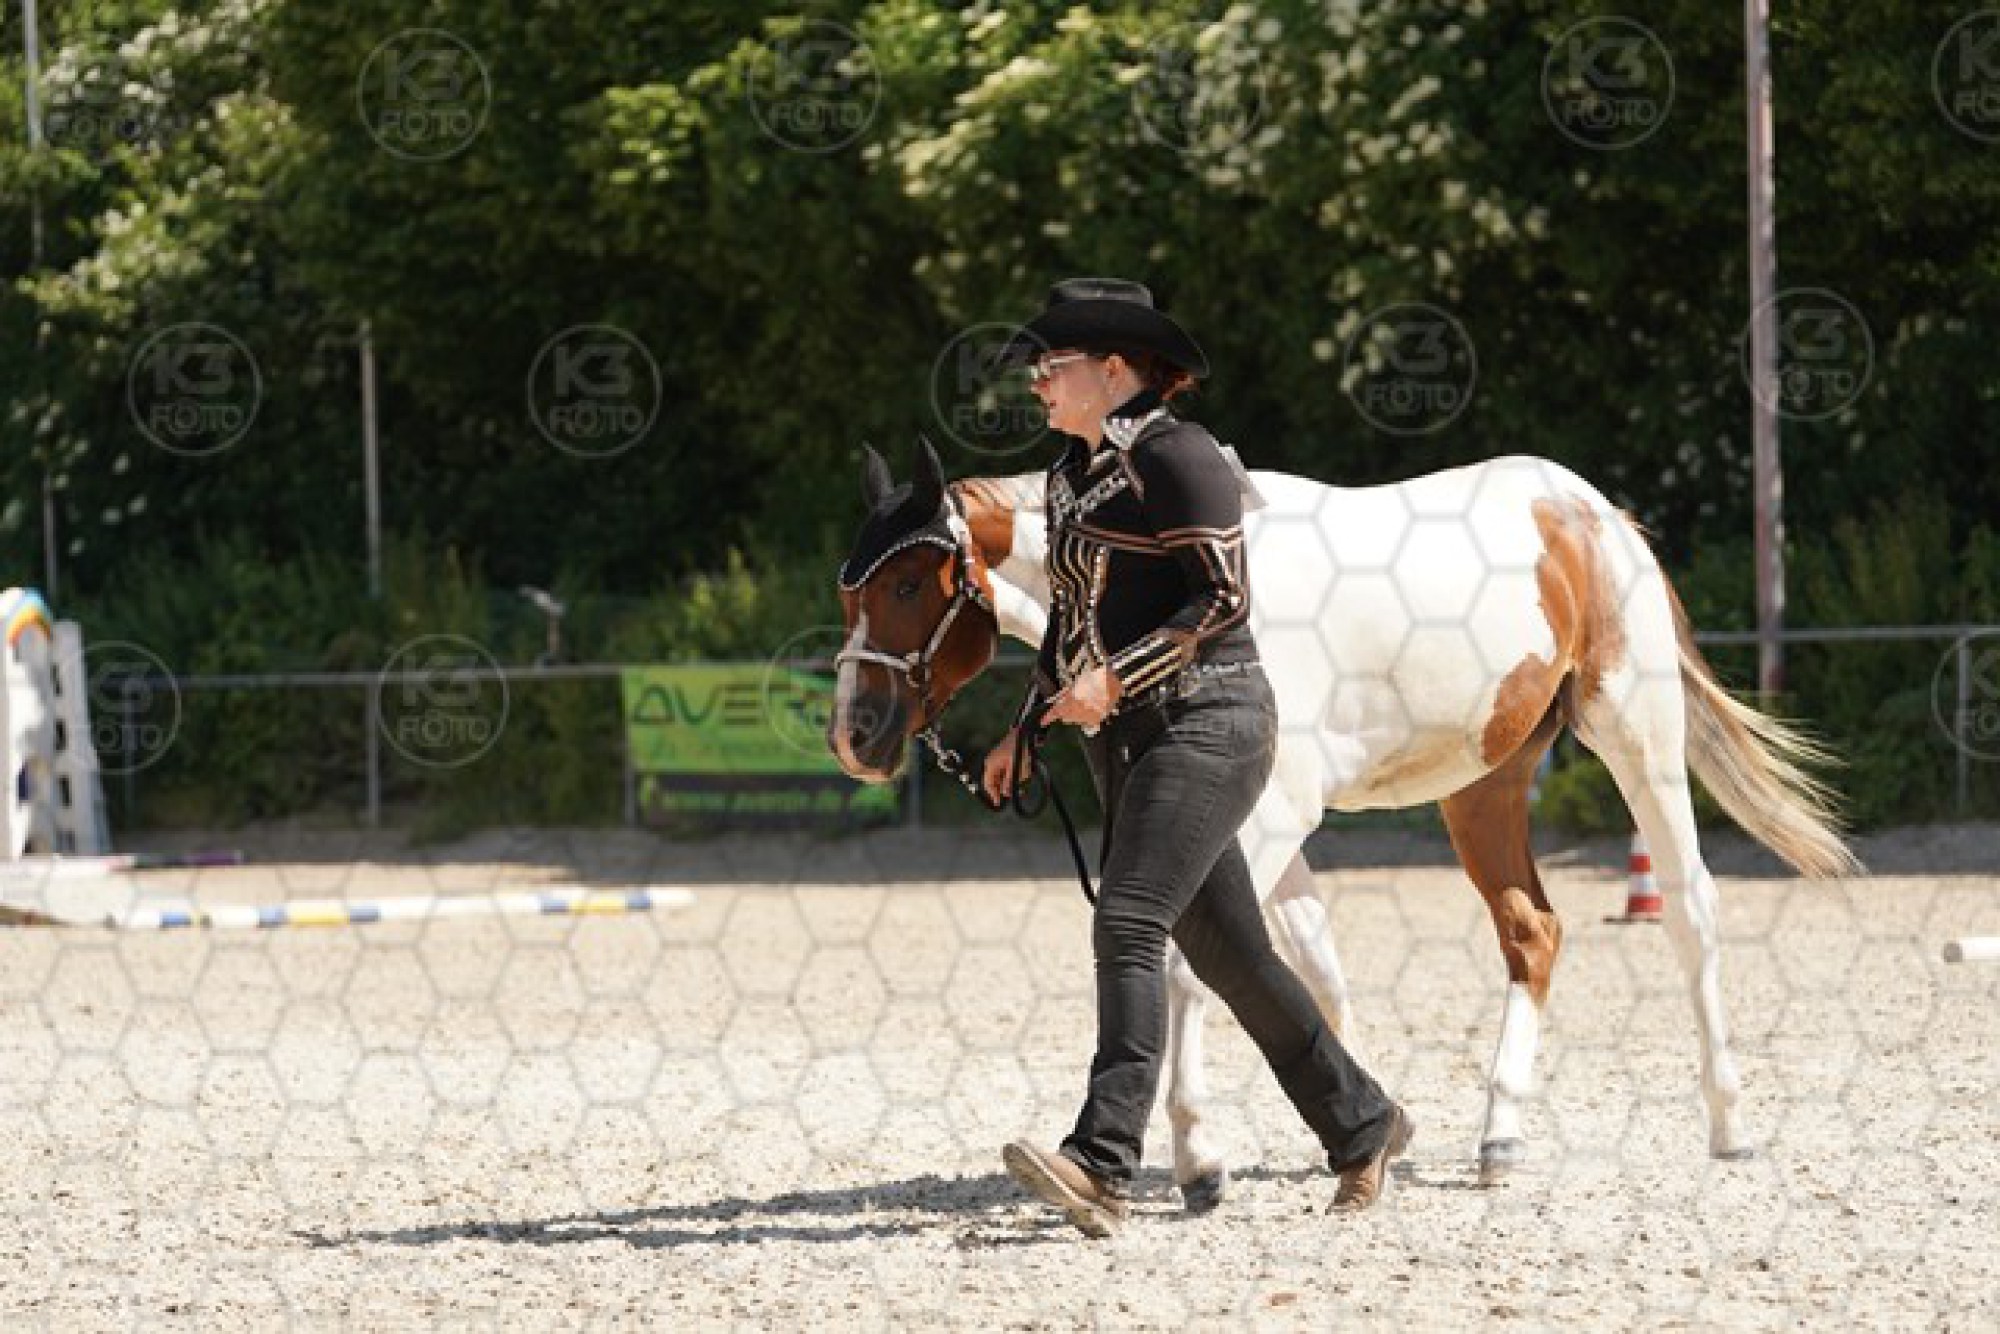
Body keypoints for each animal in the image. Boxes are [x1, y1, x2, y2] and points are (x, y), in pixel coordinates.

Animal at [828, 438, 1858, 1205]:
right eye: (852, 592)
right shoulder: (1251, 833)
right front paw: (1361, 1127)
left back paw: (1728, 1124)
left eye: (910, 587)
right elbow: (1304, 972)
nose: (855, 735)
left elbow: (1198, 968)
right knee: (1533, 932)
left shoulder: (1267, 817)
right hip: (1483, 784)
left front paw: (1201, 1158)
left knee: (1690, 913)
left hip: (1636, 736)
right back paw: (1500, 1136)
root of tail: (1598, 514)